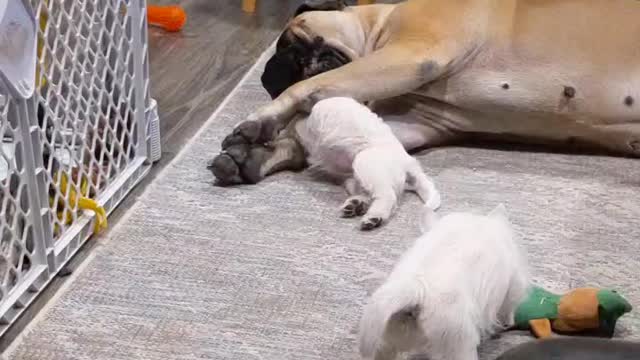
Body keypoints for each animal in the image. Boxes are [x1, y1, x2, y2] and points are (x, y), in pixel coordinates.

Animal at [296, 96, 440, 231]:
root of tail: (410, 164)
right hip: (354, 180)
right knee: (371, 194)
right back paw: (356, 205)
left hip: (365, 163)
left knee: (388, 196)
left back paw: (374, 217)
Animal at [360, 204, 528, 358]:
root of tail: (416, 289)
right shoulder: (514, 285)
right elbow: (508, 310)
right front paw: (507, 323)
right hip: (459, 345)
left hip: (385, 342)